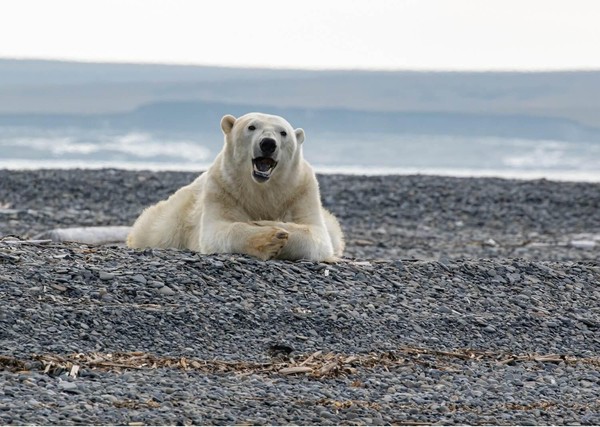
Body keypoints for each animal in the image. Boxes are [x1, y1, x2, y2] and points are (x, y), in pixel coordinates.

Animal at [126, 112, 344, 262]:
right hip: (169, 220)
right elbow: (219, 229)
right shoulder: (222, 188)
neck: (262, 188)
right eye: (251, 126)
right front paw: (270, 238)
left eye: (284, 133)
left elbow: (315, 234)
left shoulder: (301, 191)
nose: (268, 143)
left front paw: (268, 224)